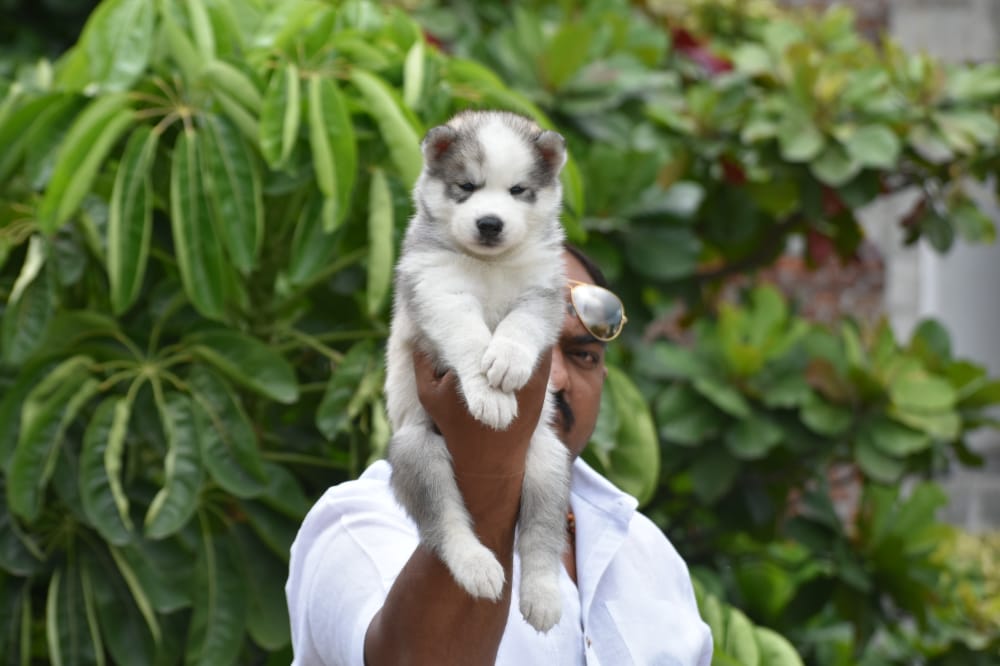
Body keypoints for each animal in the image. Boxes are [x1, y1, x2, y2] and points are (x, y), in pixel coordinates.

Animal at [382, 109, 572, 628]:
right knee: (445, 523)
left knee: (541, 536)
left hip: (547, 459)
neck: (489, 266)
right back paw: (476, 566)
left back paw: (543, 594)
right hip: (417, 450)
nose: (490, 223)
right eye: (467, 186)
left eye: (518, 190)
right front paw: (489, 395)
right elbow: (467, 335)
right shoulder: (438, 290)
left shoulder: (543, 294)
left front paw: (506, 360)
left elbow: (520, 326)